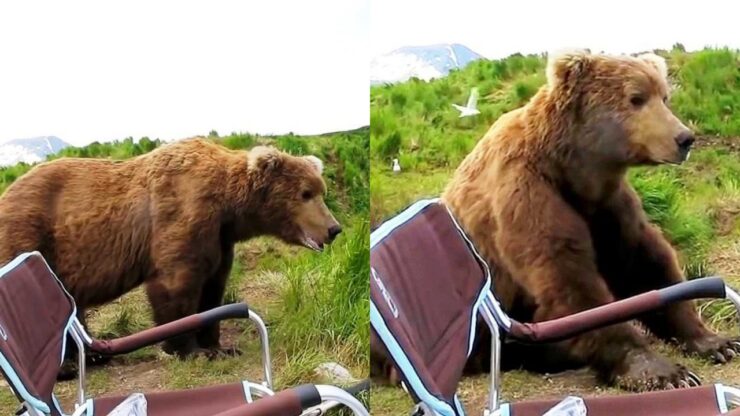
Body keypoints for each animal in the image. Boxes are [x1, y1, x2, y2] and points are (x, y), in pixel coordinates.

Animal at [0, 139, 342, 358]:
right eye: (305, 193)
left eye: (320, 190)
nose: (333, 228)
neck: (229, 207)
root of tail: (8, 192)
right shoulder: (182, 214)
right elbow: (176, 284)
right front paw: (188, 349)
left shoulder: (220, 238)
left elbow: (213, 287)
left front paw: (220, 346)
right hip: (29, 236)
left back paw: (91, 355)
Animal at [436, 50, 736, 392]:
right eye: (636, 98)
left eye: (664, 96)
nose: (684, 138)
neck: (570, 167)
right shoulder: (526, 192)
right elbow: (570, 277)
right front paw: (662, 371)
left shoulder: (607, 204)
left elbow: (646, 263)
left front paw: (715, 342)